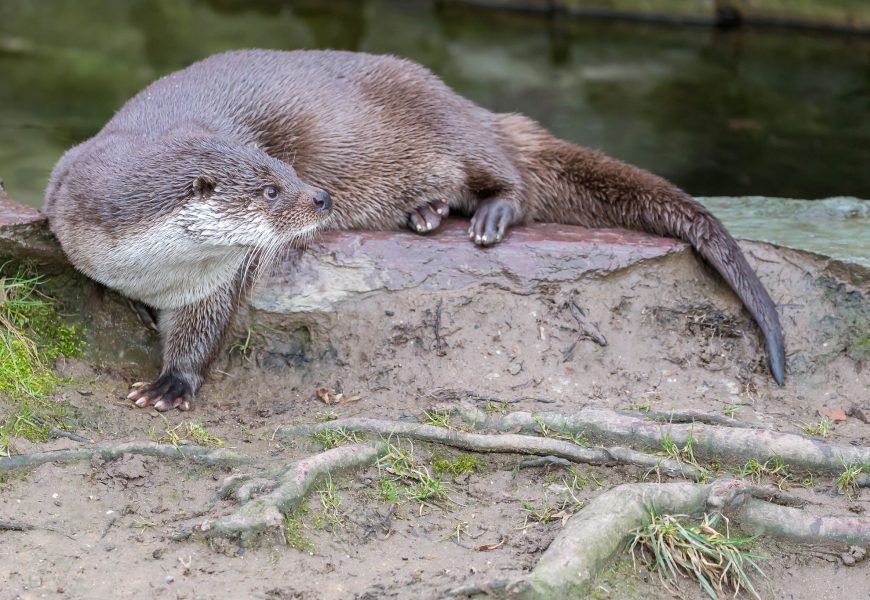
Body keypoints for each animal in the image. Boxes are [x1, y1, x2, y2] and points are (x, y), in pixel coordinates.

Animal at [44, 49, 788, 410]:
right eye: (269, 188)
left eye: (286, 169)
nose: (320, 195)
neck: (152, 269)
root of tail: (464, 99)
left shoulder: (221, 280)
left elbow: (205, 331)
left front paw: (171, 384)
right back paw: (427, 214)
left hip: (450, 129)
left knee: (508, 173)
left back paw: (486, 216)